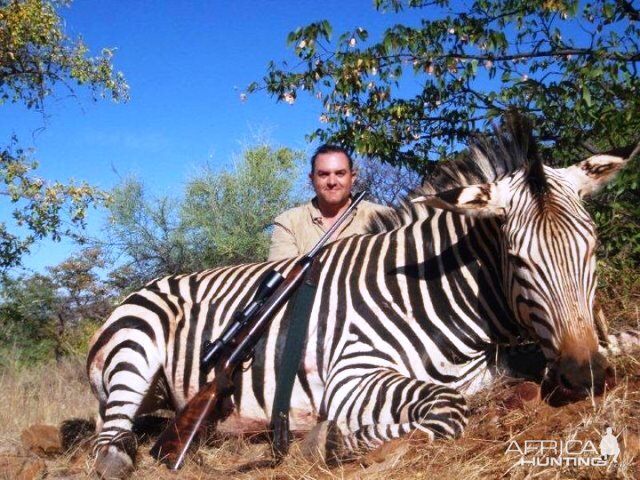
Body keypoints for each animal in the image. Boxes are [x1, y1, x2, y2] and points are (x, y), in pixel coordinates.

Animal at [86, 117, 640, 476]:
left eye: (591, 249)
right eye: (517, 257)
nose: (585, 377)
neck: (437, 296)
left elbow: (555, 370)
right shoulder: (352, 375)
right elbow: (447, 408)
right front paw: (328, 442)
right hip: (136, 348)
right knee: (108, 442)